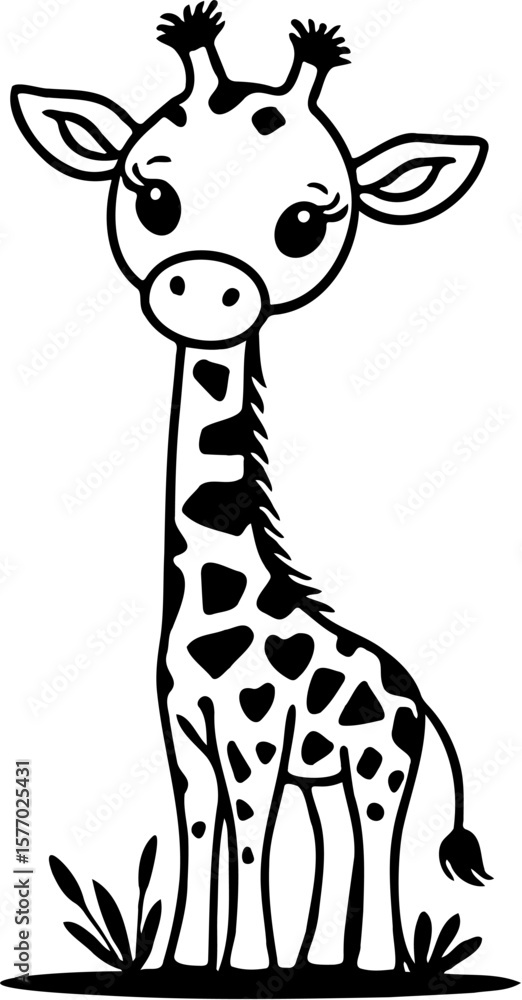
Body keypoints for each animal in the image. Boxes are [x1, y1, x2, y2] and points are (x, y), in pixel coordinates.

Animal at [11, 3, 492, 978]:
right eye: (153, 197)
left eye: (304, 221)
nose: (205, 287)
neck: (214, 602)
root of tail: (416, 696)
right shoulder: (190, 742)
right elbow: (201, 841)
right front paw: (185, 965)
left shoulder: (255, 742)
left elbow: (247, 842)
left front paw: (244, 969)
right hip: (328, 771)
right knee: (335, 841)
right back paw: (325, 963)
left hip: (381, 766)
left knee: (377, 841)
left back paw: (372, 968)